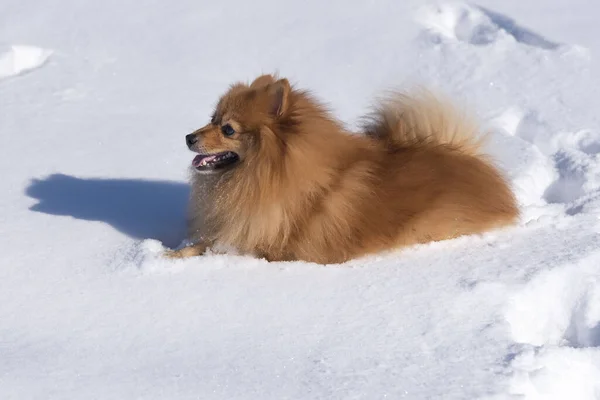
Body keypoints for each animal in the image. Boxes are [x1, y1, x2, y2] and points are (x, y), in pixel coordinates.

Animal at [166, 74, 516, 266]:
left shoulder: (272, 249)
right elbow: (203, 244)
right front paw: (170, 254)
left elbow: (215, 249)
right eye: (212, 119)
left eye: (228, 129)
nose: (188, 137)